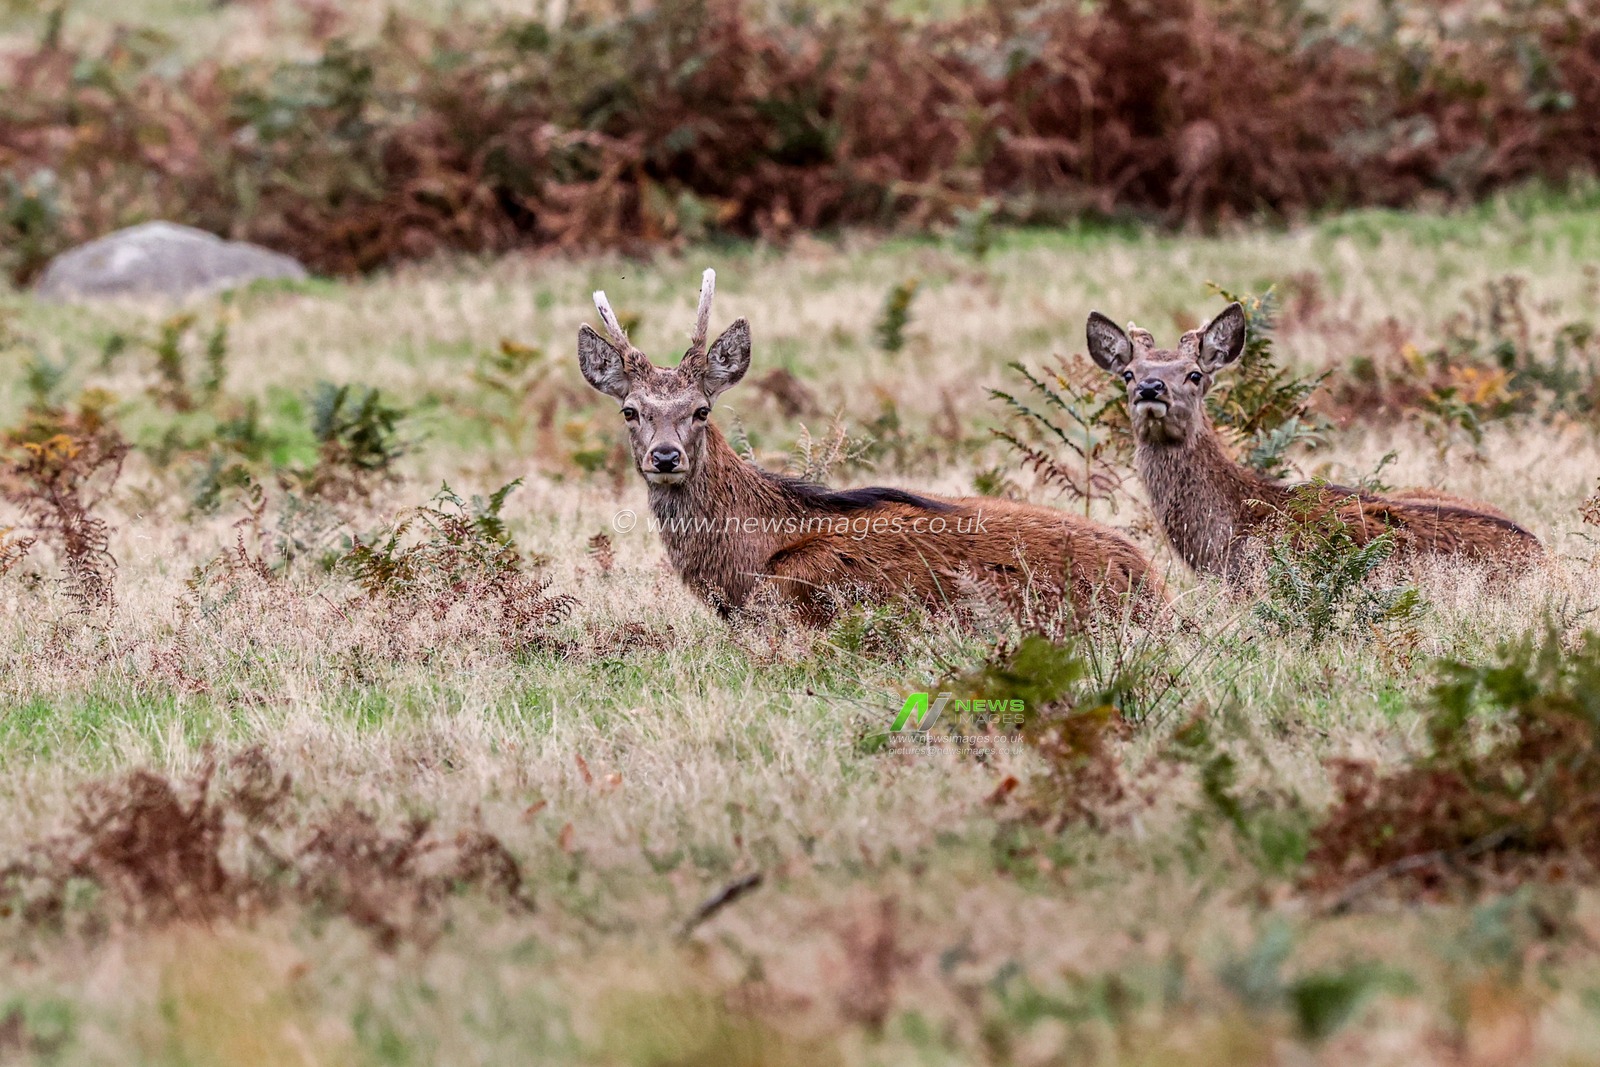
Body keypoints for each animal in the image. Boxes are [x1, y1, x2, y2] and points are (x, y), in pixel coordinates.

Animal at [576, 269, 1165, 625]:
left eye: (702, 410)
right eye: (631, 411)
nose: (665, 457)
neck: (747, 561)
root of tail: (1151, 580)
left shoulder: (793, 600)